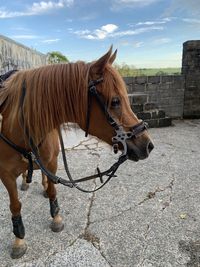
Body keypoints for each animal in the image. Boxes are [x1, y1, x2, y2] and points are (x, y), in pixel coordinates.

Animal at [0, 48, 154, 260]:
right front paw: (19, 239)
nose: (148, 145)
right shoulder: (5, 175)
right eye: (115, 101)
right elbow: (15, 205)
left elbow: (53, 190)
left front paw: (56, 217)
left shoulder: (52, 162)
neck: (19, 127)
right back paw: (25, 181)